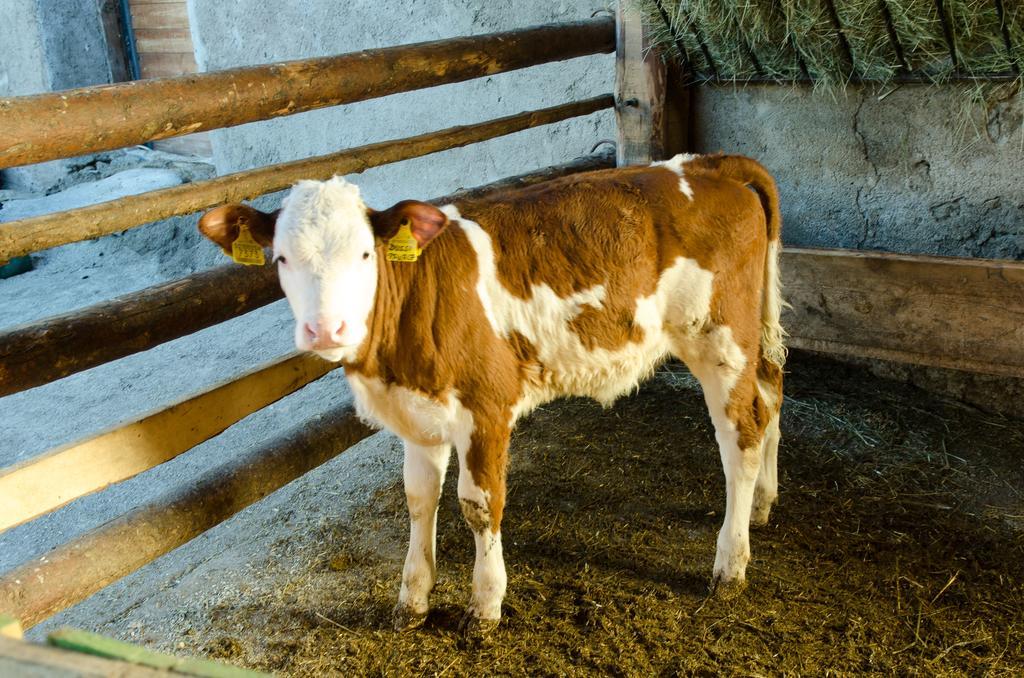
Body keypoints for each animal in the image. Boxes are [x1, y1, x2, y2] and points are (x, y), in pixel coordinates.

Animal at [197, 153, 782, 639]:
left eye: (366, 254)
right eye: (281, 259)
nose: (326, 329)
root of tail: (704, 164)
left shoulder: (486, 406)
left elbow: (479, 506)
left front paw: (484, 606)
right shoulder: (417, 414)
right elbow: (418, 499)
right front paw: (412, 601)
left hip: (721, 339)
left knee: (742, 433)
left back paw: (730, 564)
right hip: (750, 337)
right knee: (772, 397)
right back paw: (762, 505)